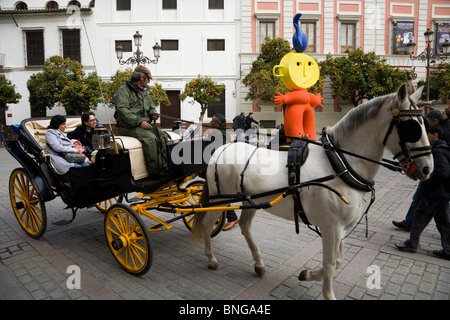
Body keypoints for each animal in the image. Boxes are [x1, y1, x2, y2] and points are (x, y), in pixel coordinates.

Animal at [192, 84, 434, 298]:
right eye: (412, 127)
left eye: (425, 123)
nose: (427, 169)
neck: (339, 164)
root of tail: (222, 148)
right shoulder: (331, 227)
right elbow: (330, 264)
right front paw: (328, 293)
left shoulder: (340, 228)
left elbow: (337, 261)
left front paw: (308, 274)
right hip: (220, 199)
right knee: (208, 223)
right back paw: (211, 259)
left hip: (250, 201)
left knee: (245, 226)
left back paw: (258, 264)